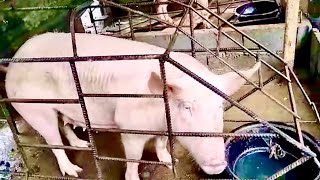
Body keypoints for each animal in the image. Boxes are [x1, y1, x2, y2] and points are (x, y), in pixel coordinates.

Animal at [5, 32, 260, 180]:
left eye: (219, 108)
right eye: (187, 107)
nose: (218, 165)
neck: (160, 118)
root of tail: (15, 58)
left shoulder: (159, 129)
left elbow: (160, 143)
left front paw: (169, 161)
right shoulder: (129, 127)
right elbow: (134, 157)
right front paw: (133, 176)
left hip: (58, 106)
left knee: (64, 125)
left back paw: (81, 144)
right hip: (32, 107)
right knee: (52, 140)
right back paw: (74, 171)